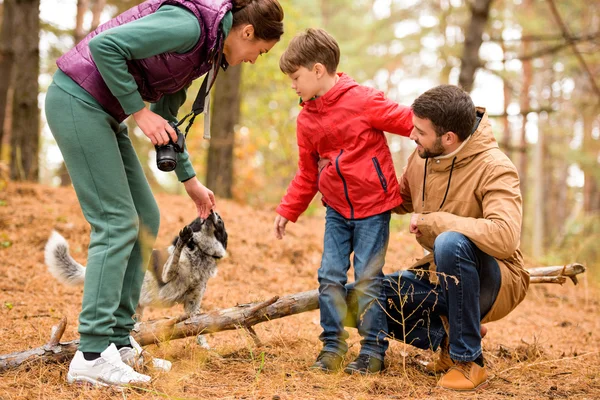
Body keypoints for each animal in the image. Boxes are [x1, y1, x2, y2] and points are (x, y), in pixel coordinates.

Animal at [44, 209, 227, 346]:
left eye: (220, 220)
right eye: (199, 219)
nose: (211, 212)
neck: (200, 254)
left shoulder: (192, 305)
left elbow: (199, 327)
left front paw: (206, 348)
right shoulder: (167, 274)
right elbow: (175, 256)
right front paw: (182, 240)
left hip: (136, 311)